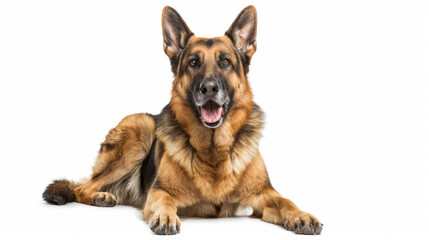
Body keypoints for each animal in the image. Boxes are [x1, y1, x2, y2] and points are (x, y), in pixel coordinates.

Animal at [43, 6, 320, 236]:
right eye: (193, 63)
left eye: (226, 62)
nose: (209, 88)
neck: (213, 152)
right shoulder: (159, 191)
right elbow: (165, 200)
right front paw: (165, 217)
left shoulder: (264, 195)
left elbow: (285, 201)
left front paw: (301, 215)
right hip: (141, 129)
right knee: (81, 188)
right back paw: (100, 195)